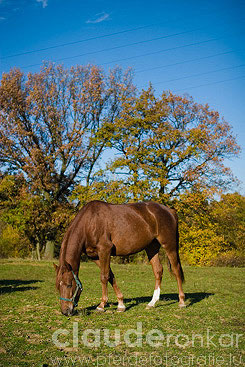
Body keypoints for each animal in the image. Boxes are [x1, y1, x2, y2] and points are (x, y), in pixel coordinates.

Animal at [53, 201, 184, 316]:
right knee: (158, 271)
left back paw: (182, 302)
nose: (65, 311)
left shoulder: (105, 250)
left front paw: (101, 306)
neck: (89, 222)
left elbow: (104, 277)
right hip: (152, 247)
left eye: (69, 284)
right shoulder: (95, 256)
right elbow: (110, 276)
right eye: (58, 286)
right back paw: (152, 303)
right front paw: (121, 304)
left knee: (176, 269)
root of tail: (170, 211)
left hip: (169, 245)